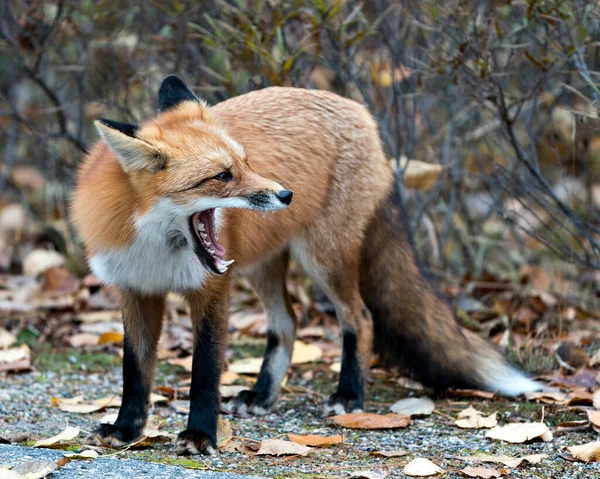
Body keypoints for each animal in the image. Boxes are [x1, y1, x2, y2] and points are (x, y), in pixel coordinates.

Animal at [70, 76, 540, 458]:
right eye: (222, 176)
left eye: (246, 163)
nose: (285, 194)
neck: (154, 245)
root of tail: (360, 112)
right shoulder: (135, 292)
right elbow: (135, 371)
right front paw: (126, 430)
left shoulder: (211, 289)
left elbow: (204, 372)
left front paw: (201, 436)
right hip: (261, 265)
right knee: (287, 322)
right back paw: (262, 396)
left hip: (324, 258)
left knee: (360, 317)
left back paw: (348, 395)